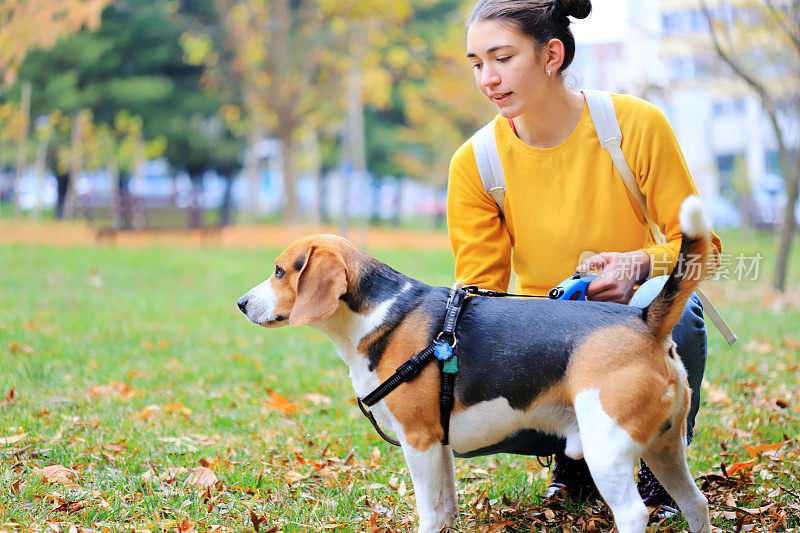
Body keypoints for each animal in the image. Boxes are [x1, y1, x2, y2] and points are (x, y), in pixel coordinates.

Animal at [236, 195, 712, 532]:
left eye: (280, 271)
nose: (240, 303)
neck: (383, 313)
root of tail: (645, 321)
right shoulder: (439, 442)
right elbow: (446, 510)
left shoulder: (419, 439)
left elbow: (429, 513)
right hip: (665, 447)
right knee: (696, 502)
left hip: (608, 446)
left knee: (633, 513)